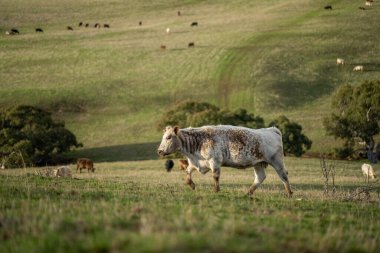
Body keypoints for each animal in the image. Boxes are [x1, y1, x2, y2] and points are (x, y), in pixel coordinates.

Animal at [157, 125, 294, 197]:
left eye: (168, 137)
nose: (159, 151)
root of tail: (271, 129)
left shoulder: (215, 162)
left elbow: (215, 176)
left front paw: (216, 191)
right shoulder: (196, 164)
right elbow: (187, 173)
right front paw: (192, 184)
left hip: (277, 161)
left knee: (283, 175)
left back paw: (289, 193)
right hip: (258, 163)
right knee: (260, 177)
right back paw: (248, 193)